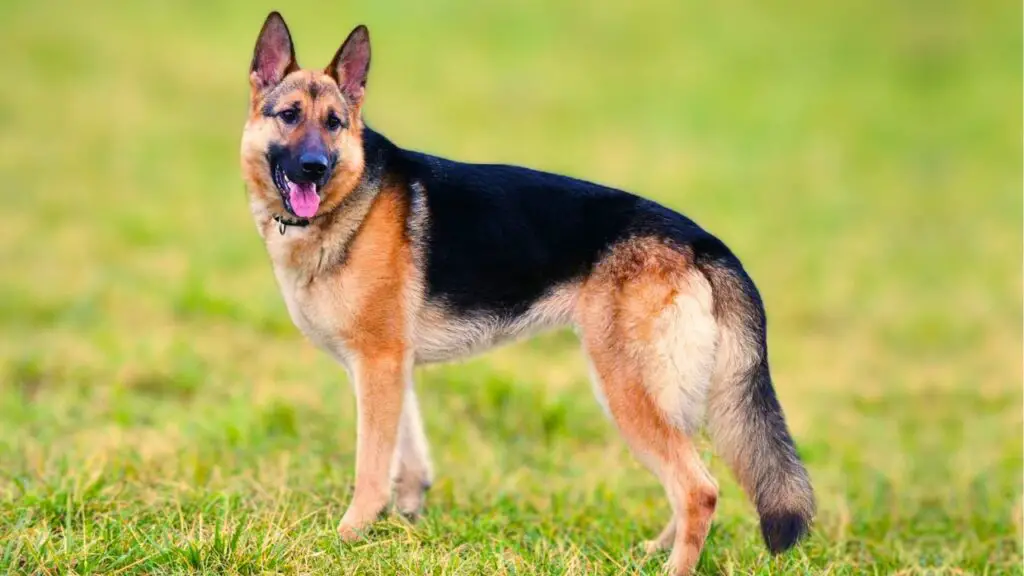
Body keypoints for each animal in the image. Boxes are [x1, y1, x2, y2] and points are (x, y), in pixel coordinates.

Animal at [239, 11, 815, 569]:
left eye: (334, 124)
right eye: (289, 116)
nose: (314, 167)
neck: (351, 198)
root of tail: (701, 241)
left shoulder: (377, 363)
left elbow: (372, 466)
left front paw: (350, 535)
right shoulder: (391, 366)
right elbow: (409, 454)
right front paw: (403, 522)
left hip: (626, 390)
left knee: (699, 490)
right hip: (667, 396)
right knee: (693, 482)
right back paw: (654, 551)